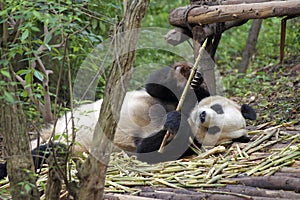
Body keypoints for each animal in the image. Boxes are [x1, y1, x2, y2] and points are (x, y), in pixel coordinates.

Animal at [0, 61, 256, 179]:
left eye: (214, 129)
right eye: (217, 108)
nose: (202, 116)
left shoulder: (187, 145)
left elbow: (148, 151)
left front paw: (174, 124)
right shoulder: (173, 99)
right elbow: (155, 87)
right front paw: (188, 76)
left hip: (73, 147)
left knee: (47, 152)